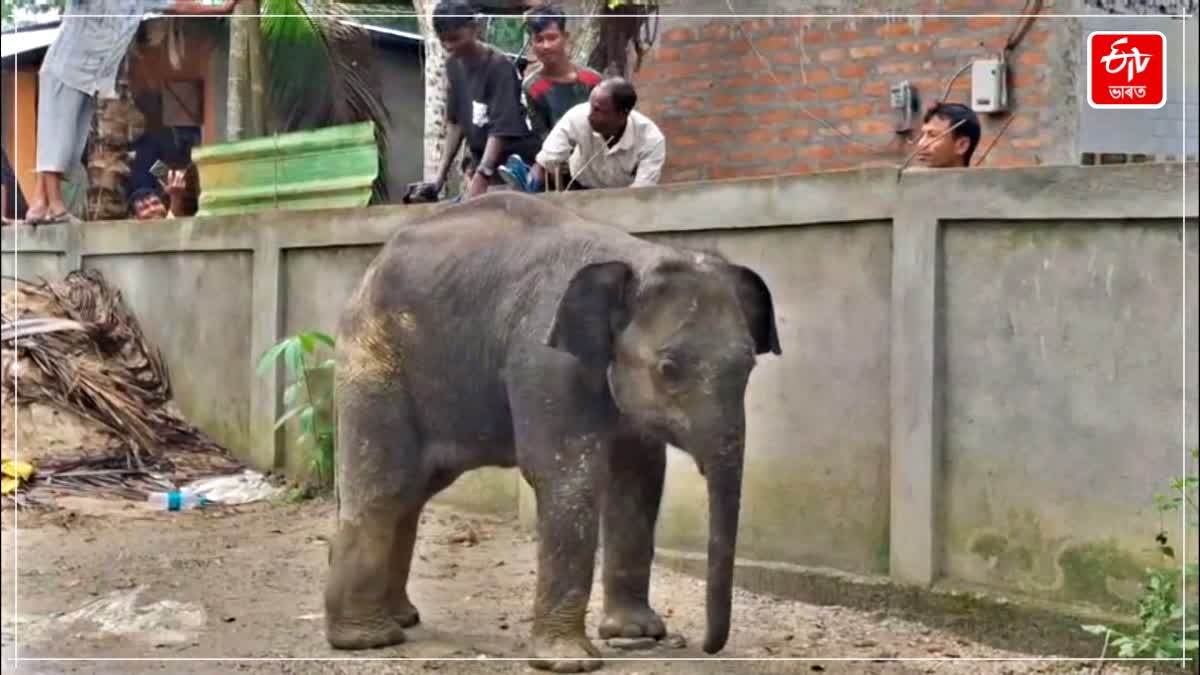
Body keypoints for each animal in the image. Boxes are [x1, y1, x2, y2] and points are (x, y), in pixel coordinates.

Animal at [324, 191, 781, 672]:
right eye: (668, 369)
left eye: (749, 366)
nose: (709, 648)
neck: (635, 255)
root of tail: (369, 270)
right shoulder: (544, 360)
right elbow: (568, 478)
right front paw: (571, 662)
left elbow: (639, 478)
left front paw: (635, 635)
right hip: (375, 361)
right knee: (384, 486)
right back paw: (368, 639)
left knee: (412, 490)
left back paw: (400, 619)